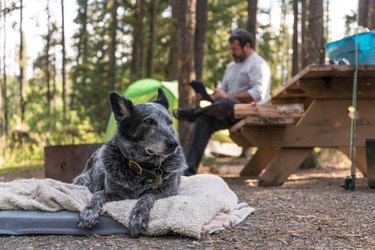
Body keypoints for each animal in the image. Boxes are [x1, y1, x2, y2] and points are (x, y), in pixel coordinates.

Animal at [74, 88, 188, 236]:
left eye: (170, 122)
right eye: (148, 121)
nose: (174, 144)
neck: (142, 167)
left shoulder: (169, 193)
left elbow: (146, 196)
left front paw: (138, 217)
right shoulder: (117, 193)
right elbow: (98, 195)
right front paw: (89, 212)